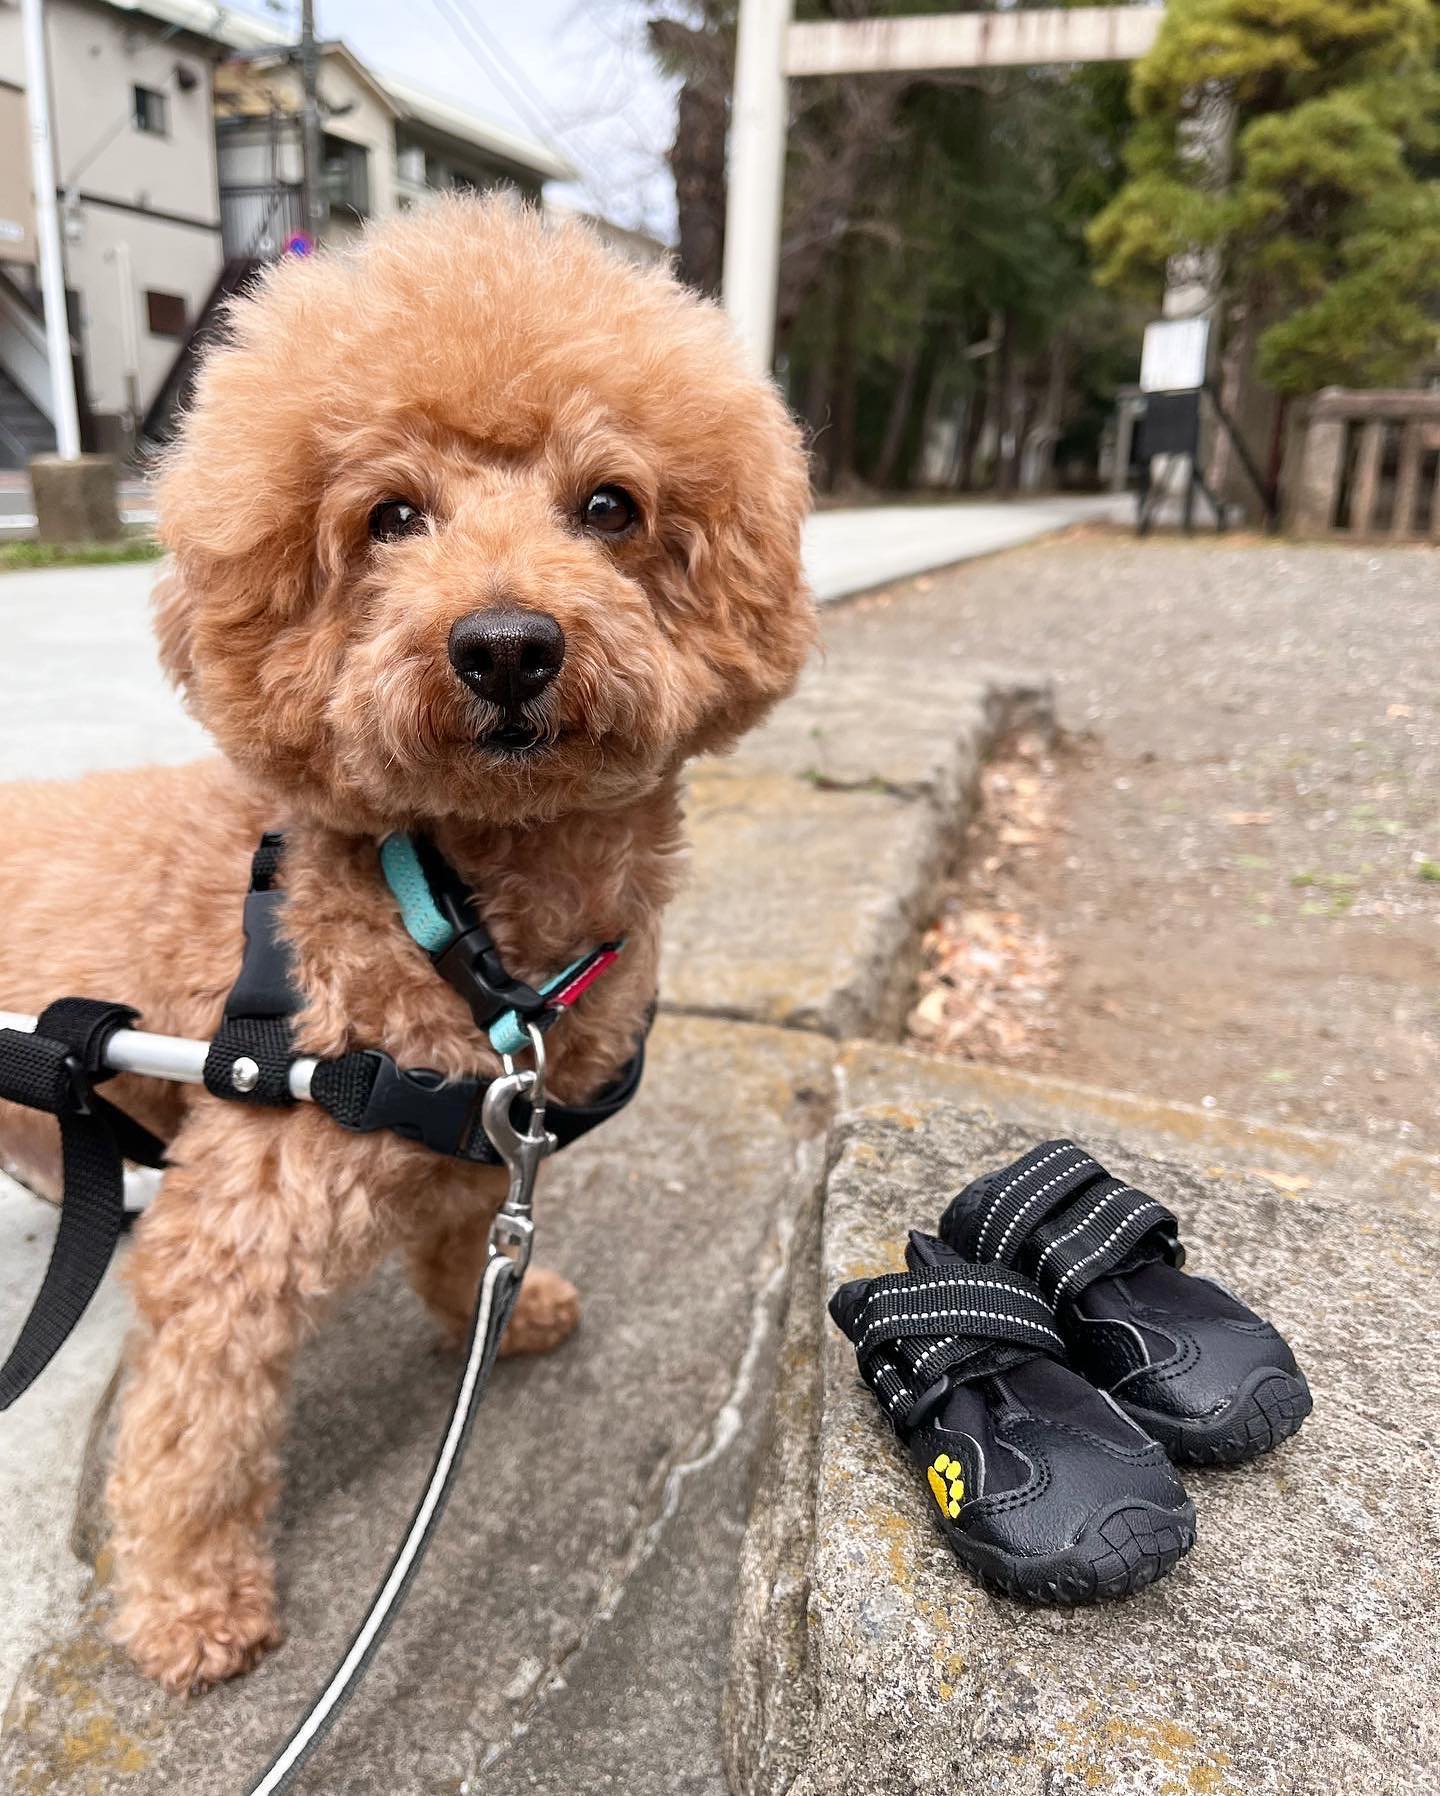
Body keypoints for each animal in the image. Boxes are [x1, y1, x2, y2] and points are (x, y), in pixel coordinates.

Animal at [0, 195, 813, 1692]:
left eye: (609, 506)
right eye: (390, 517)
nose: (504, 646)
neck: (458, 916)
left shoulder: (486, 1139)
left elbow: (460, 1242)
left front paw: (509, 1313)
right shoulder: (237, 1233)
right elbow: (192, 1440)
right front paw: (191, 1608)